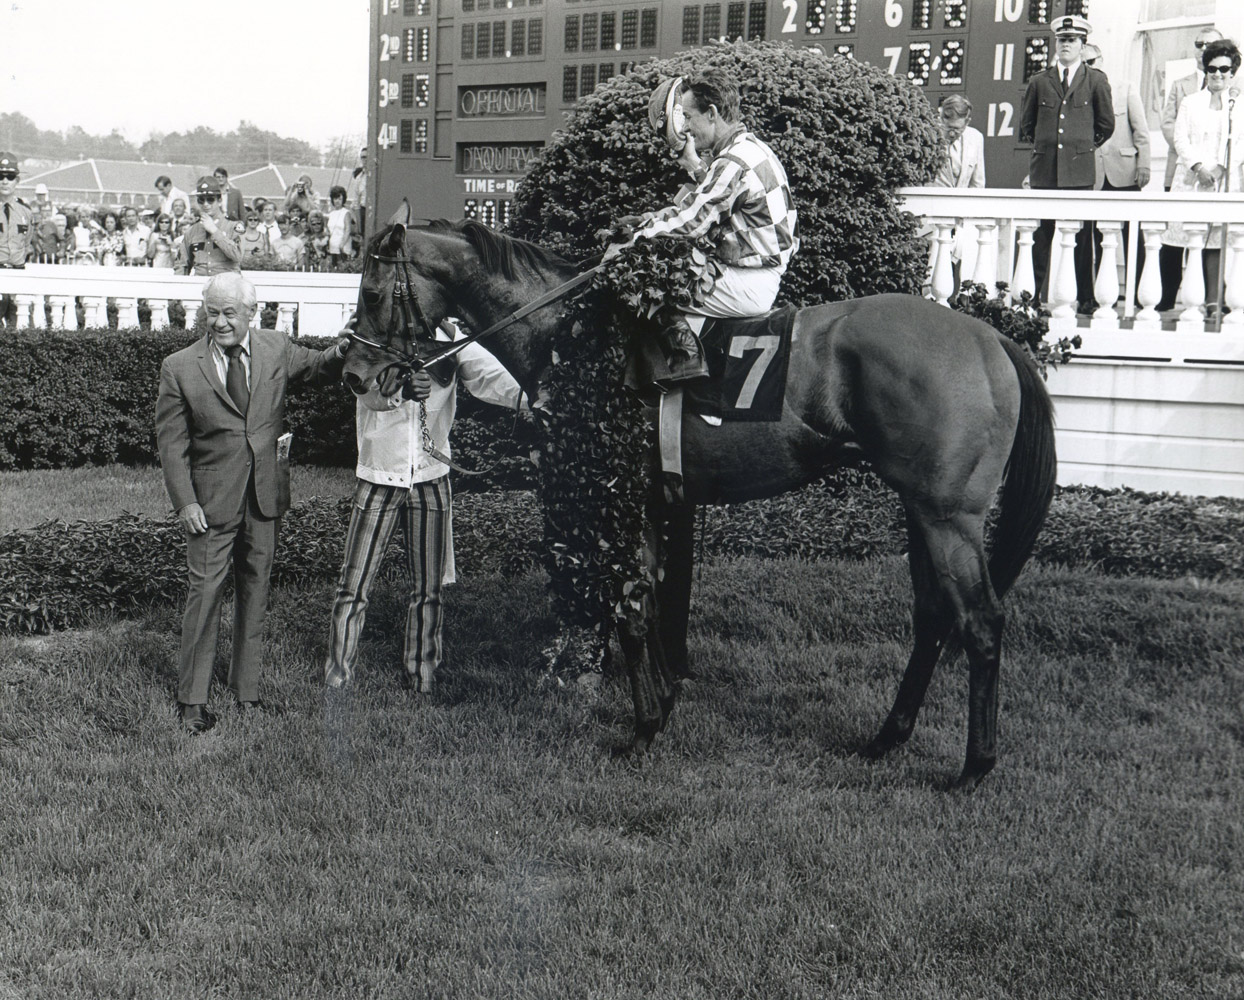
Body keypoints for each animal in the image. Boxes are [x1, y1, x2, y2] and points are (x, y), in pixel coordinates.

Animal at [345, 218, 1054, 791]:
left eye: (373, 294)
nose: (354, 374)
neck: (570, 335)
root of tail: (991, 339)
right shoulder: (662, 501)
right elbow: (657, 599)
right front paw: (663, 707)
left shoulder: (620, 495)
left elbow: (631, 608)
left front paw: (642, 730)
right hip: (919, 510)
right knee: (933, 616)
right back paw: (886, 739)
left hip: (948, 516)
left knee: (980, 622)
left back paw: (973, 768)